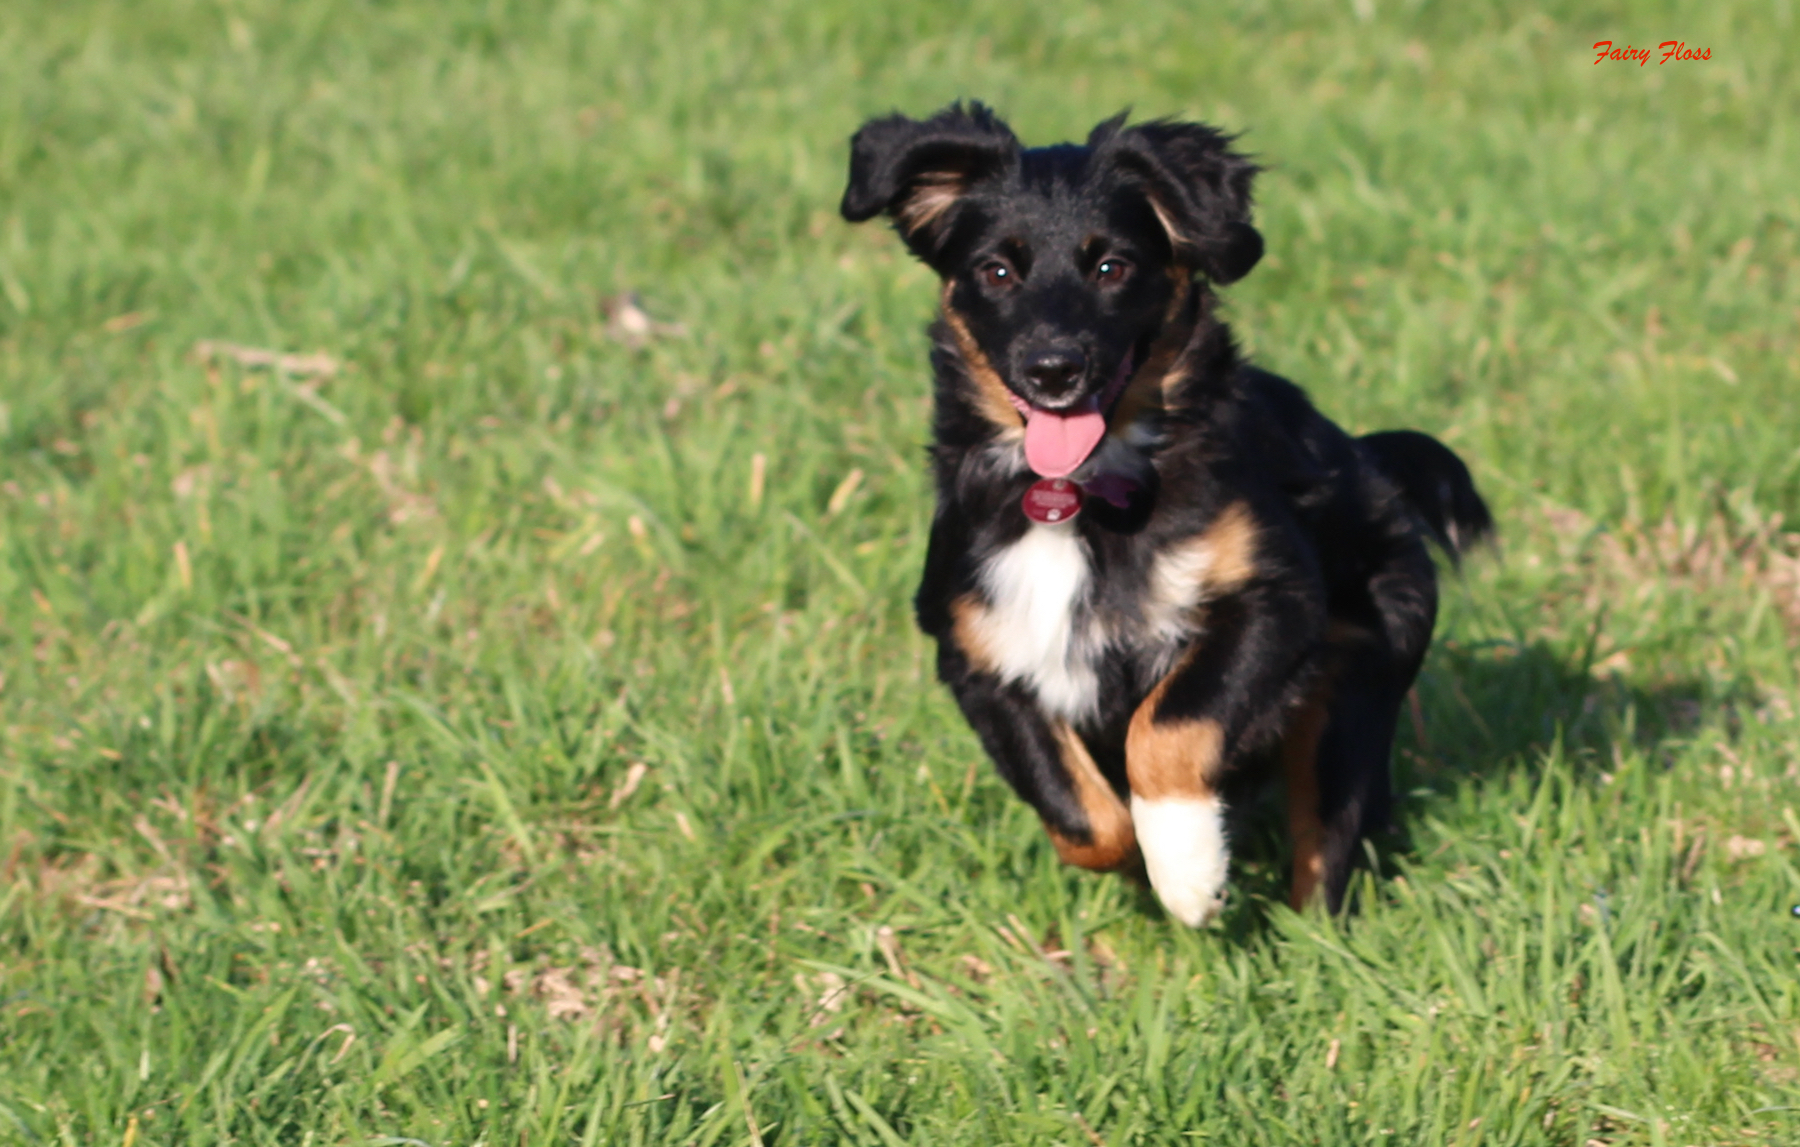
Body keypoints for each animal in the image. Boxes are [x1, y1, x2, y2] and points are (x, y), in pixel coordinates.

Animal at [842, 100, 1490, 921]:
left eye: (1111, 267)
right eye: (997, 270)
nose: (1053, 370)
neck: (1082, 496)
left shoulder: (1274, 598)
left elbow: (1169, 723)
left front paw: (1187, 867)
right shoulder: (978, 649)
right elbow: (1079, 817)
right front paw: (1138, 863)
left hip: (1360, 671)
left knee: (1327, 831)